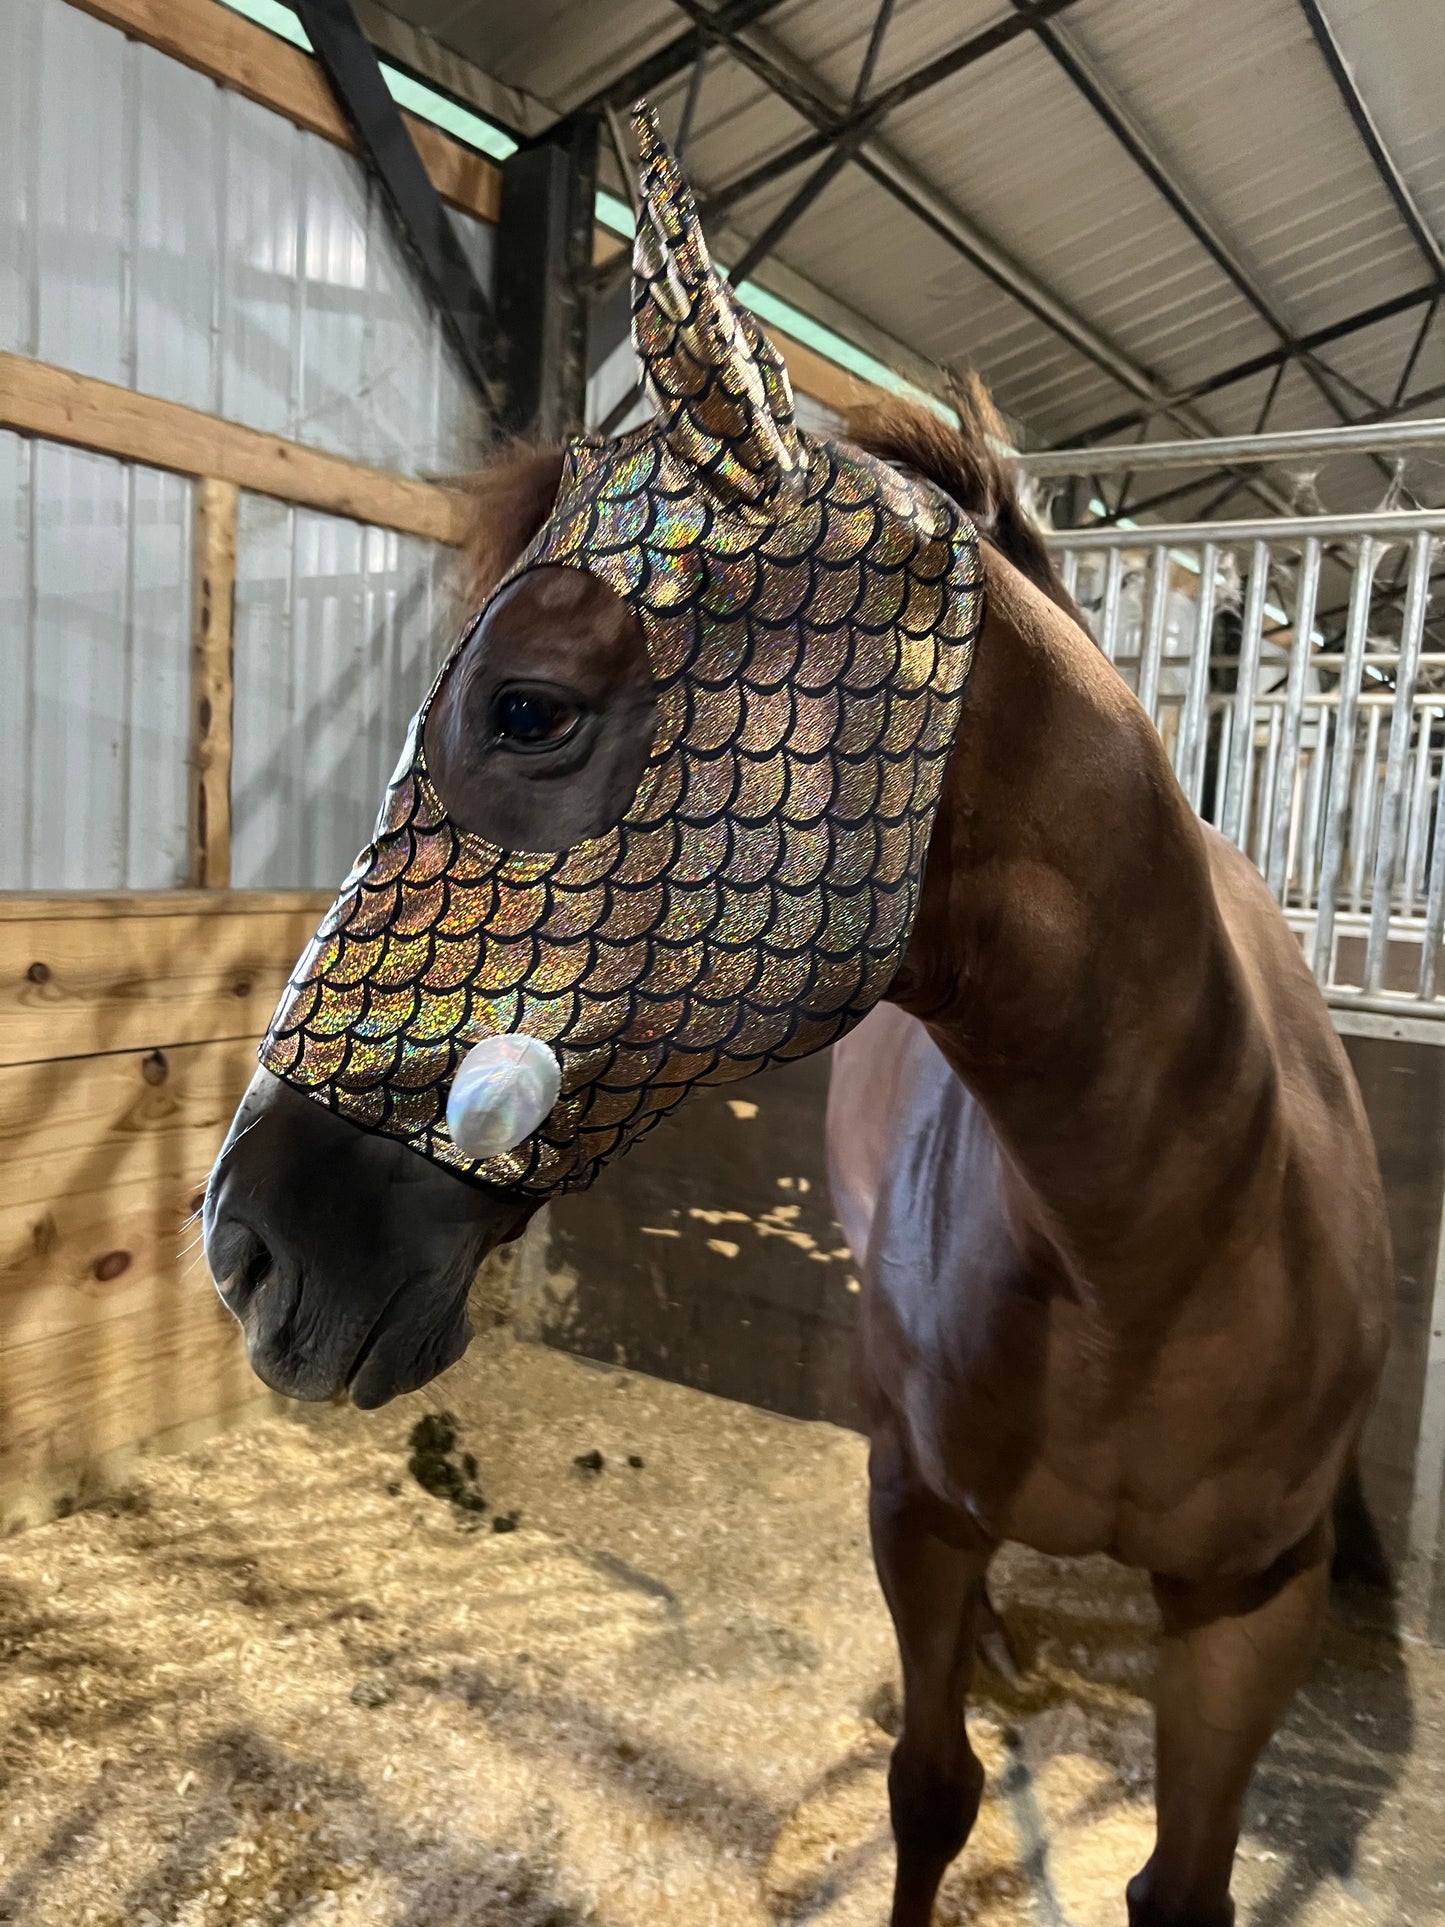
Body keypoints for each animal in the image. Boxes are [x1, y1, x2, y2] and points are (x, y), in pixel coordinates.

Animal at [204, 108, 1391, 1927]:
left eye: (529, 707)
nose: (245, 1243)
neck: (1154, 1247)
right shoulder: (916, 1507)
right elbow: (930, 1786)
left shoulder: (1251, 1607)